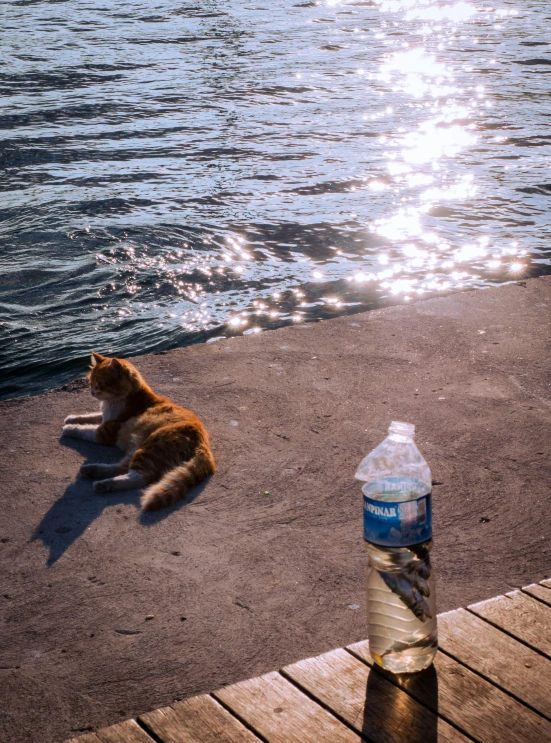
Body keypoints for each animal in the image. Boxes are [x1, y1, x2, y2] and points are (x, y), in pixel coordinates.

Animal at [61, 354, 215, 512]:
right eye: (91, 382)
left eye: (100, 383)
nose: (92, 392)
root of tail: (203, 442)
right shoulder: (104, 417)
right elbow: (89, 416)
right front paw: (71, 418)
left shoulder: (104, 432)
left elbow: (83, 429)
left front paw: (69, 428)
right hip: (136, 449)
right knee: (121, 467)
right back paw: (92, 470)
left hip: (149, 448)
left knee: (139, 478)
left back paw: (103, 483)